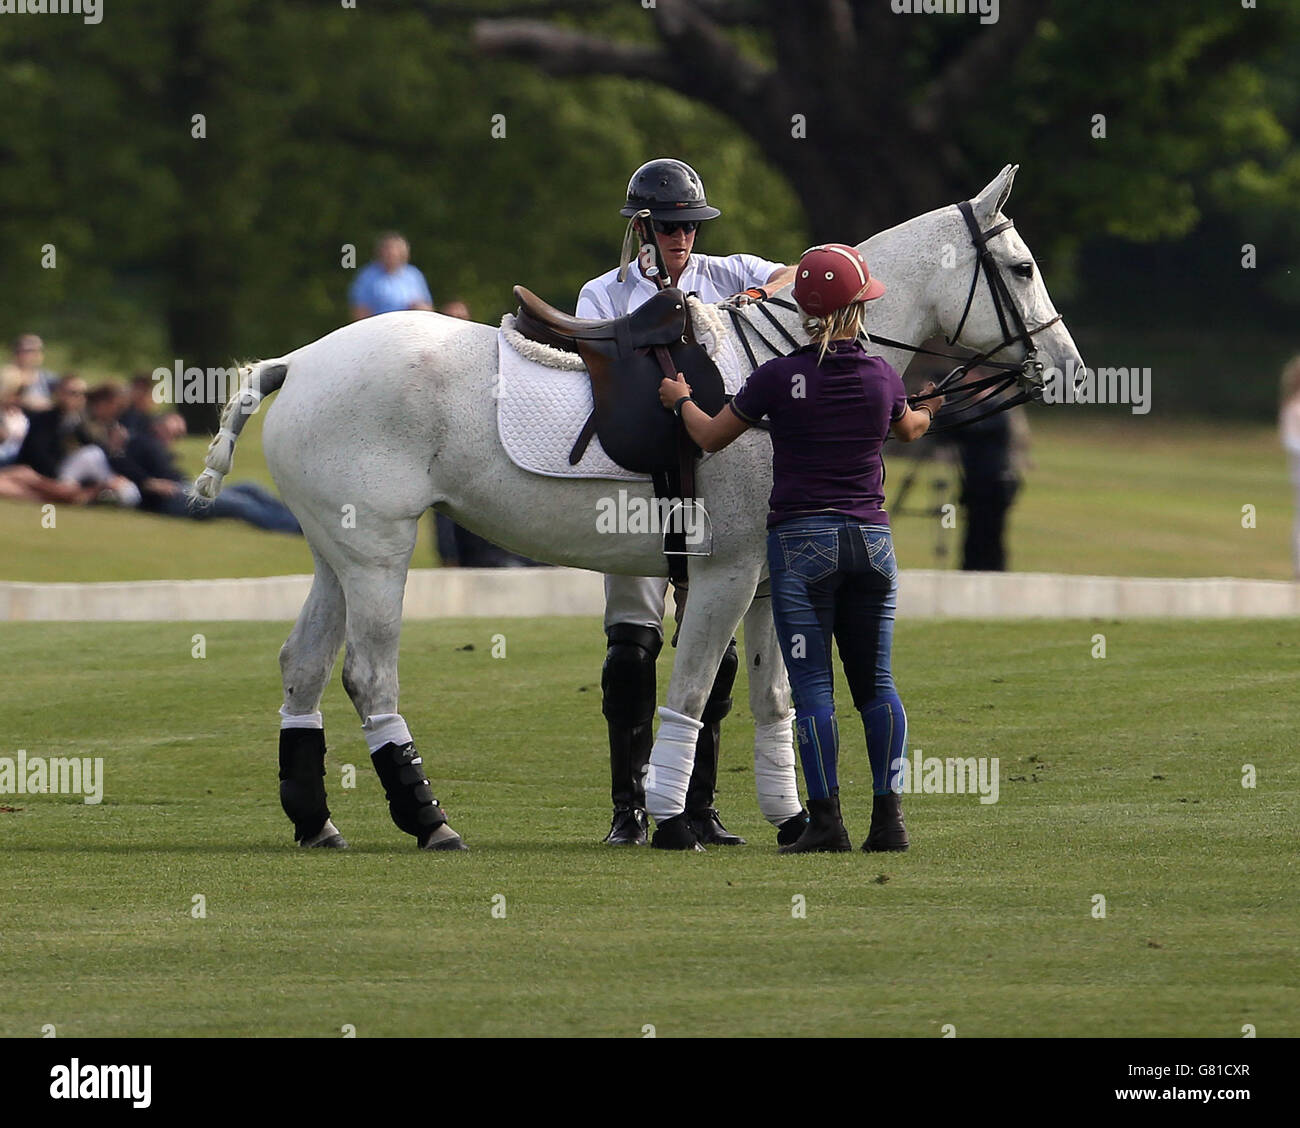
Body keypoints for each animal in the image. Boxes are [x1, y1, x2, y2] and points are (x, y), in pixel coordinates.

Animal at [195, 167, 1086, 852]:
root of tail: (295, 362)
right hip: (381, 550)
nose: (1071, 367)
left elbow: (767, 698)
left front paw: (788, 820)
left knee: (303, 665)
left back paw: (317, 823)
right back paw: (432, 822)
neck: (792, 360)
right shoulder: (727, 572)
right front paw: (673, 823)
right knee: (369, 674)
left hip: (334, 551)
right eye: (1019, 267)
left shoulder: (766, 580)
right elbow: (687, 692)